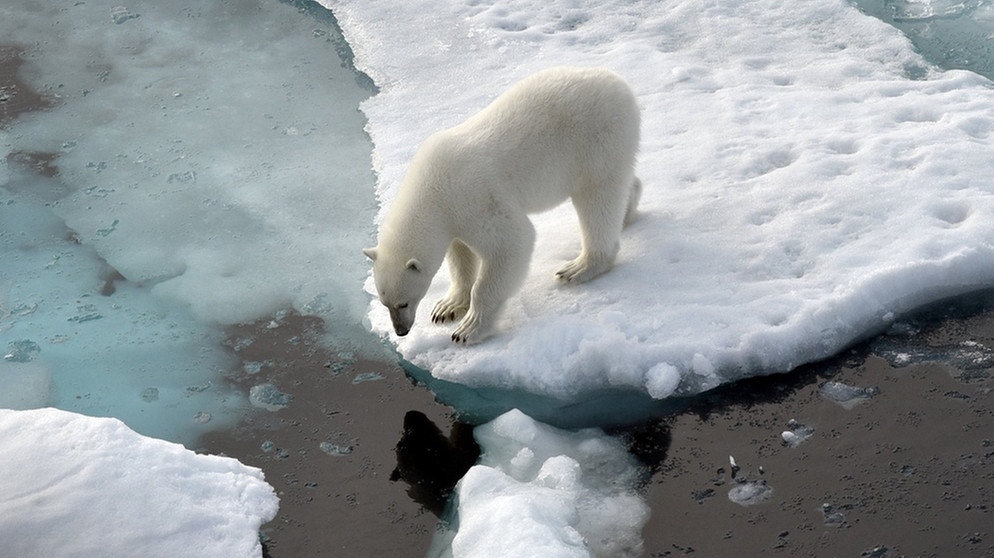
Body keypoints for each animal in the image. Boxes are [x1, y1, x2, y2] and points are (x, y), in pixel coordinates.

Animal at [360, 66, 640, 346]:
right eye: (385, 302)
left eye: (403, 303)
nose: (401, 331)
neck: (431, 189)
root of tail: (620, 84)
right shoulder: (453, 216)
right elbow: (461, 255)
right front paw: (447, 307)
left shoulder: (473, 197)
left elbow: (511, 243)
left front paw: (468, 329)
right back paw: (627, 211)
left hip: (596, 140)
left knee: (597, 198)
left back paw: (579, 267)